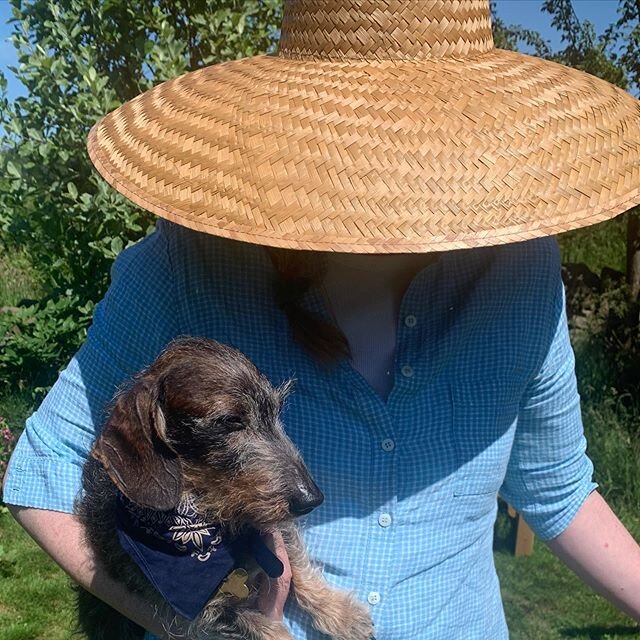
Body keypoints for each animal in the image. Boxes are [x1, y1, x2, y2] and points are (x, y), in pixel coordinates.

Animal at [75, 338, 376, 636]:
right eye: (231, 420)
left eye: (276, 412)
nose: (312, 499)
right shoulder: (206, 615)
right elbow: (264, 629)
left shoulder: (269, 527)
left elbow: (296, 563)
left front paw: (342, 614)